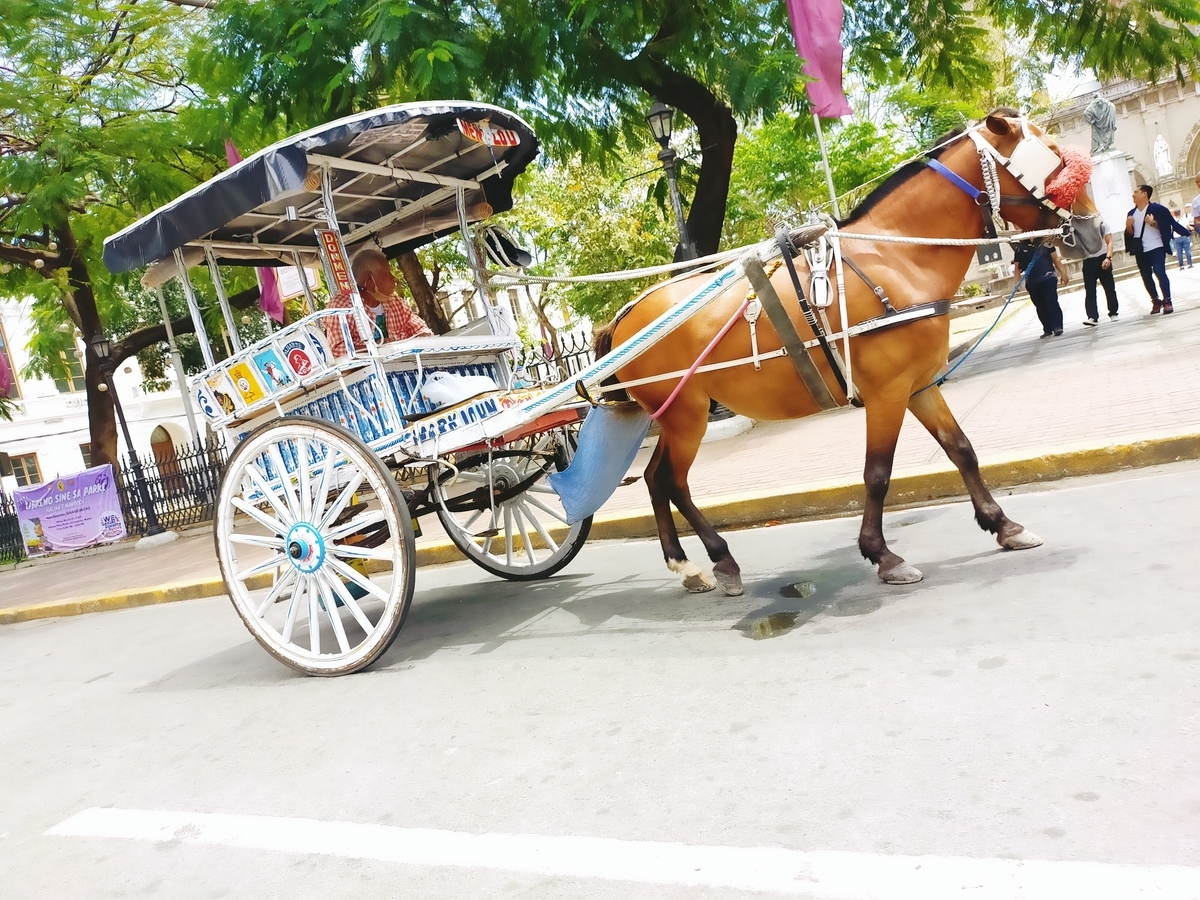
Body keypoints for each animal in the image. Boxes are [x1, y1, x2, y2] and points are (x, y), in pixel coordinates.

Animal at [595, 111, 1075, 592]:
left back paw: (687, 565)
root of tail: (624, 316)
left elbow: (961, 449)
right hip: (687, 416)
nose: (1082, 221)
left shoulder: (919, 386)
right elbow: (878, 473)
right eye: (1052, 158)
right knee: (672, 481)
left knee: (655, 478)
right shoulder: (887, 393)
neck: (896, 257)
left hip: (677, 415)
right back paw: (719, 559)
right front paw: (882, 554)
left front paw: (1004, 525)